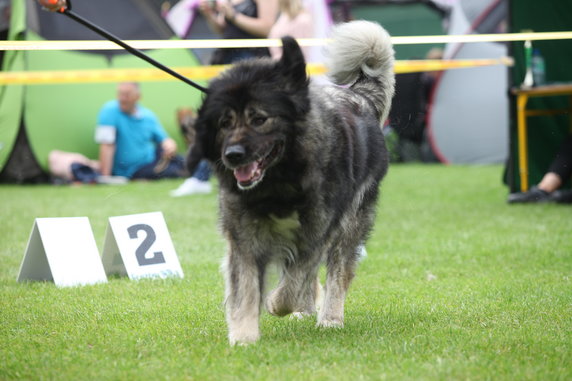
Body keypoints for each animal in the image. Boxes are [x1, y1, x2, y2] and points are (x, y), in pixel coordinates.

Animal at [187, 20, 394, 344]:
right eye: (225, 123)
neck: (280, 179)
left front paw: (275, 303)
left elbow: (293, 283)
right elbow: (247, 288)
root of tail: (359, 97)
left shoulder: (316, 233)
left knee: (338, 272)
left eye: (260, 119)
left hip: (350, 223)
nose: (232, 155)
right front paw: (244, 337)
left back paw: (330, 317)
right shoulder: (244, 237)